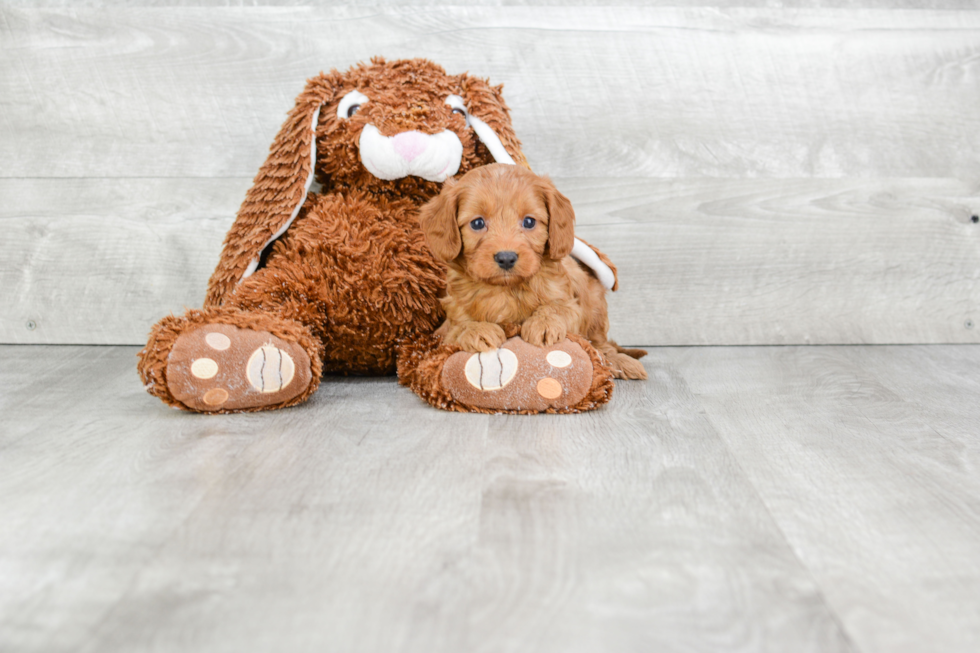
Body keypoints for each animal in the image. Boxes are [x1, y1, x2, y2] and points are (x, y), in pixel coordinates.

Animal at [418, 162, 648, 382]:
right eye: (477, 223)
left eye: (529, 222)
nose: (506, 258)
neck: (507, 289)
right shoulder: (445, 326)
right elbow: (458, 326)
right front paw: (477, 329)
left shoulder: (571, 305)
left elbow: (557, 308)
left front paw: (543, 324)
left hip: (596, 304)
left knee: (601, 344)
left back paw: (621, 362)